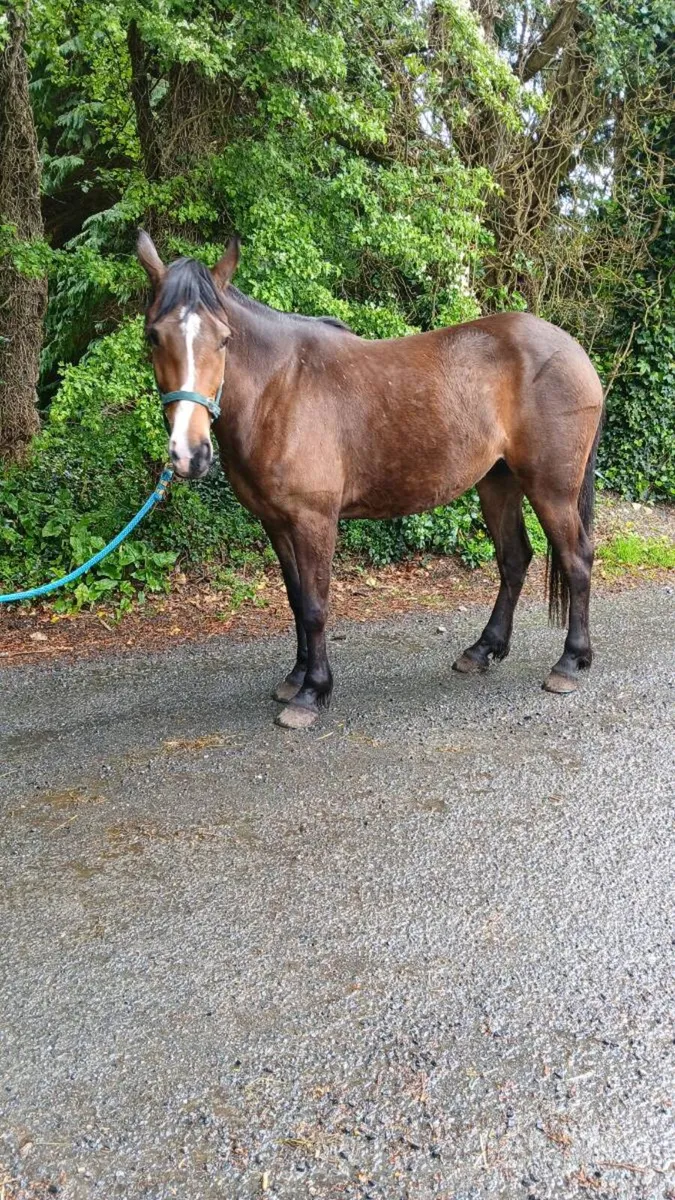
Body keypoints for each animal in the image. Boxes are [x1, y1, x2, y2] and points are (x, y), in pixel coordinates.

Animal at [137, 231, 604, 730]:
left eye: (224, 339)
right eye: (153, 336)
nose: (189, 454)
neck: (280, 388)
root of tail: (575, 351)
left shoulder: (314, 520)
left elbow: (316, 605)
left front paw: (312, 693)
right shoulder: (277, 523)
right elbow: (296, 600)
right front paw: (295, 678)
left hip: (551, 489)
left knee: (576, 558)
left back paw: (569, 663)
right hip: (497, 483)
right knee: (514, 559)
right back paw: (482, 650)